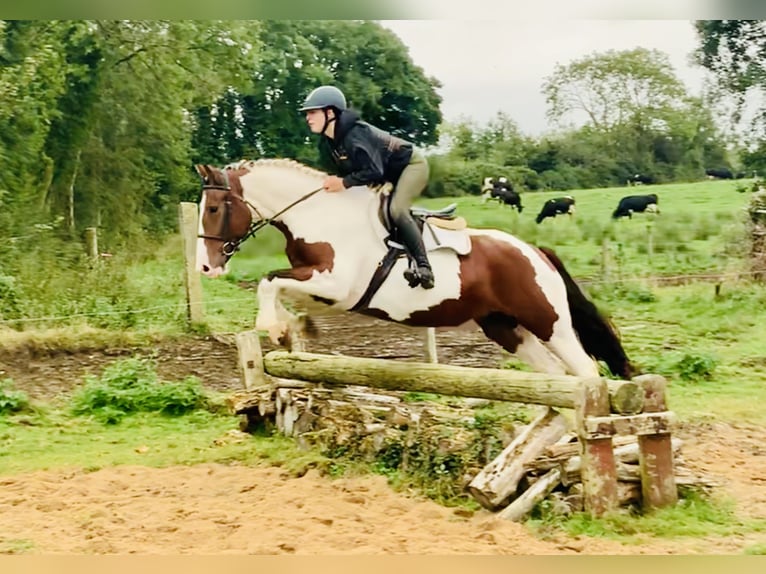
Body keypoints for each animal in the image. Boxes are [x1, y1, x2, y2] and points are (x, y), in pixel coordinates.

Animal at [196, 159, 636, 382]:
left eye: (214, 208)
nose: (205, 266)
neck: (318, 214)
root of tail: (535, 252)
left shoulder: (338, 284)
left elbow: (269, 281)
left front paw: (273, 328)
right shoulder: (319, 284)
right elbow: (279, 287)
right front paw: (290, 329)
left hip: (549, 322)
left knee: (585, 372)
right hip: (505, 328)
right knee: (555, 376)